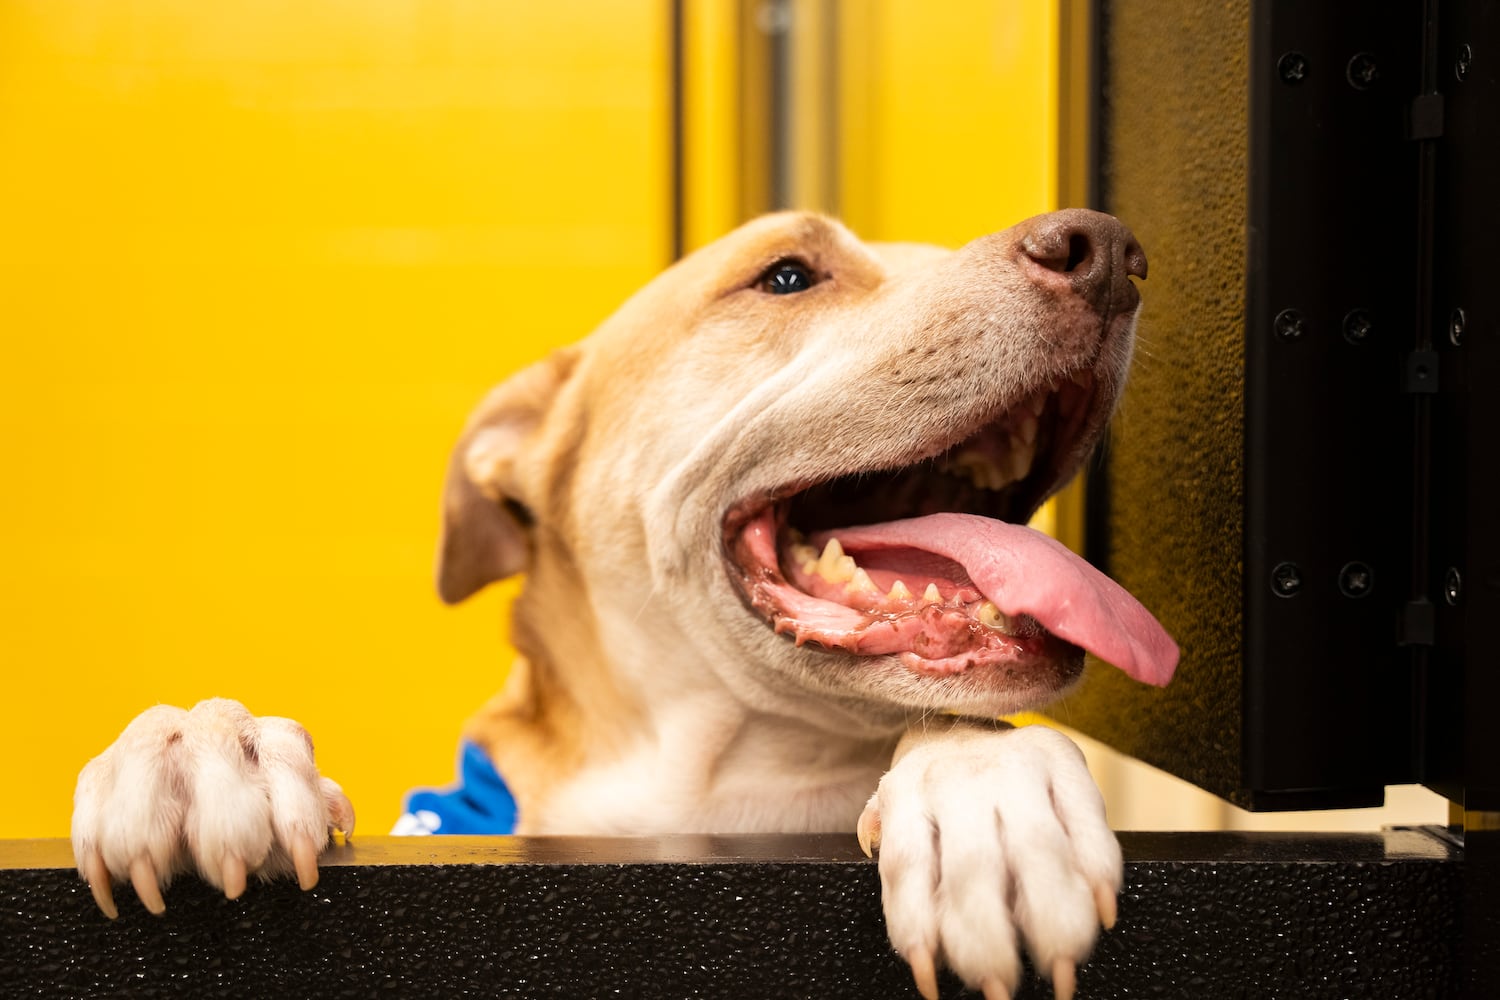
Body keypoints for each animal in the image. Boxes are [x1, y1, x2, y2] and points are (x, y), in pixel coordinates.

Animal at [70, 211, 1176, 1000]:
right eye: (787, 275)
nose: (1108, 249)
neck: (709, 785)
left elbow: (964, 729)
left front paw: (986, 792)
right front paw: (202, 749)